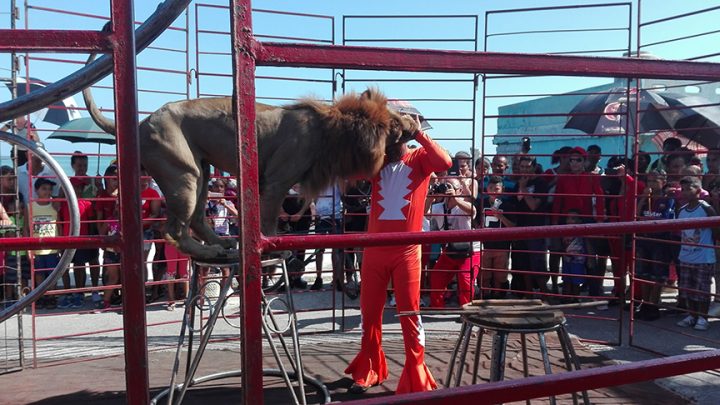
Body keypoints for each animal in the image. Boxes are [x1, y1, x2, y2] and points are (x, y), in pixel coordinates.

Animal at [83, 81, 416, 260]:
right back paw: (209, 252)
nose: (414, 123)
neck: (330, 130)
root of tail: (140, 123)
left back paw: (222, 243)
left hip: (201, 170)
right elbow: (268, 219)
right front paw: (274, 247)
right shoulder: (277, 180)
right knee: (173, 230)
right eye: (396, 122)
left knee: (197, 219)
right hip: (182, 172)